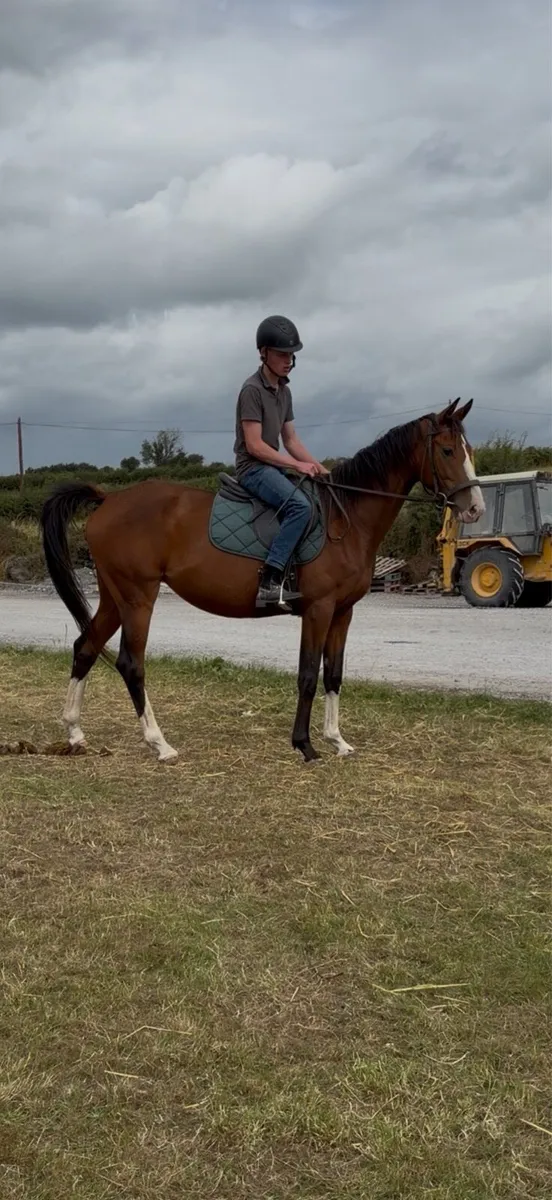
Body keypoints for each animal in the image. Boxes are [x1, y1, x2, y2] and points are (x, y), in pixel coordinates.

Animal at [40, 398, 484, 764]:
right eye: (447, 450)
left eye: (470, 451)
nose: (474, 508)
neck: (346, 518)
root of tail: (109, 499)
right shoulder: (319, 610)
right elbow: (308, 675)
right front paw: (305, 745)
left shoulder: (343, 612)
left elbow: (334, 674)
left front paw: (337, 740)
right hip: (138, 598)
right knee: (131, 664)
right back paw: (159, 743)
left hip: (115, 597)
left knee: (85, 648)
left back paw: (75, 732)